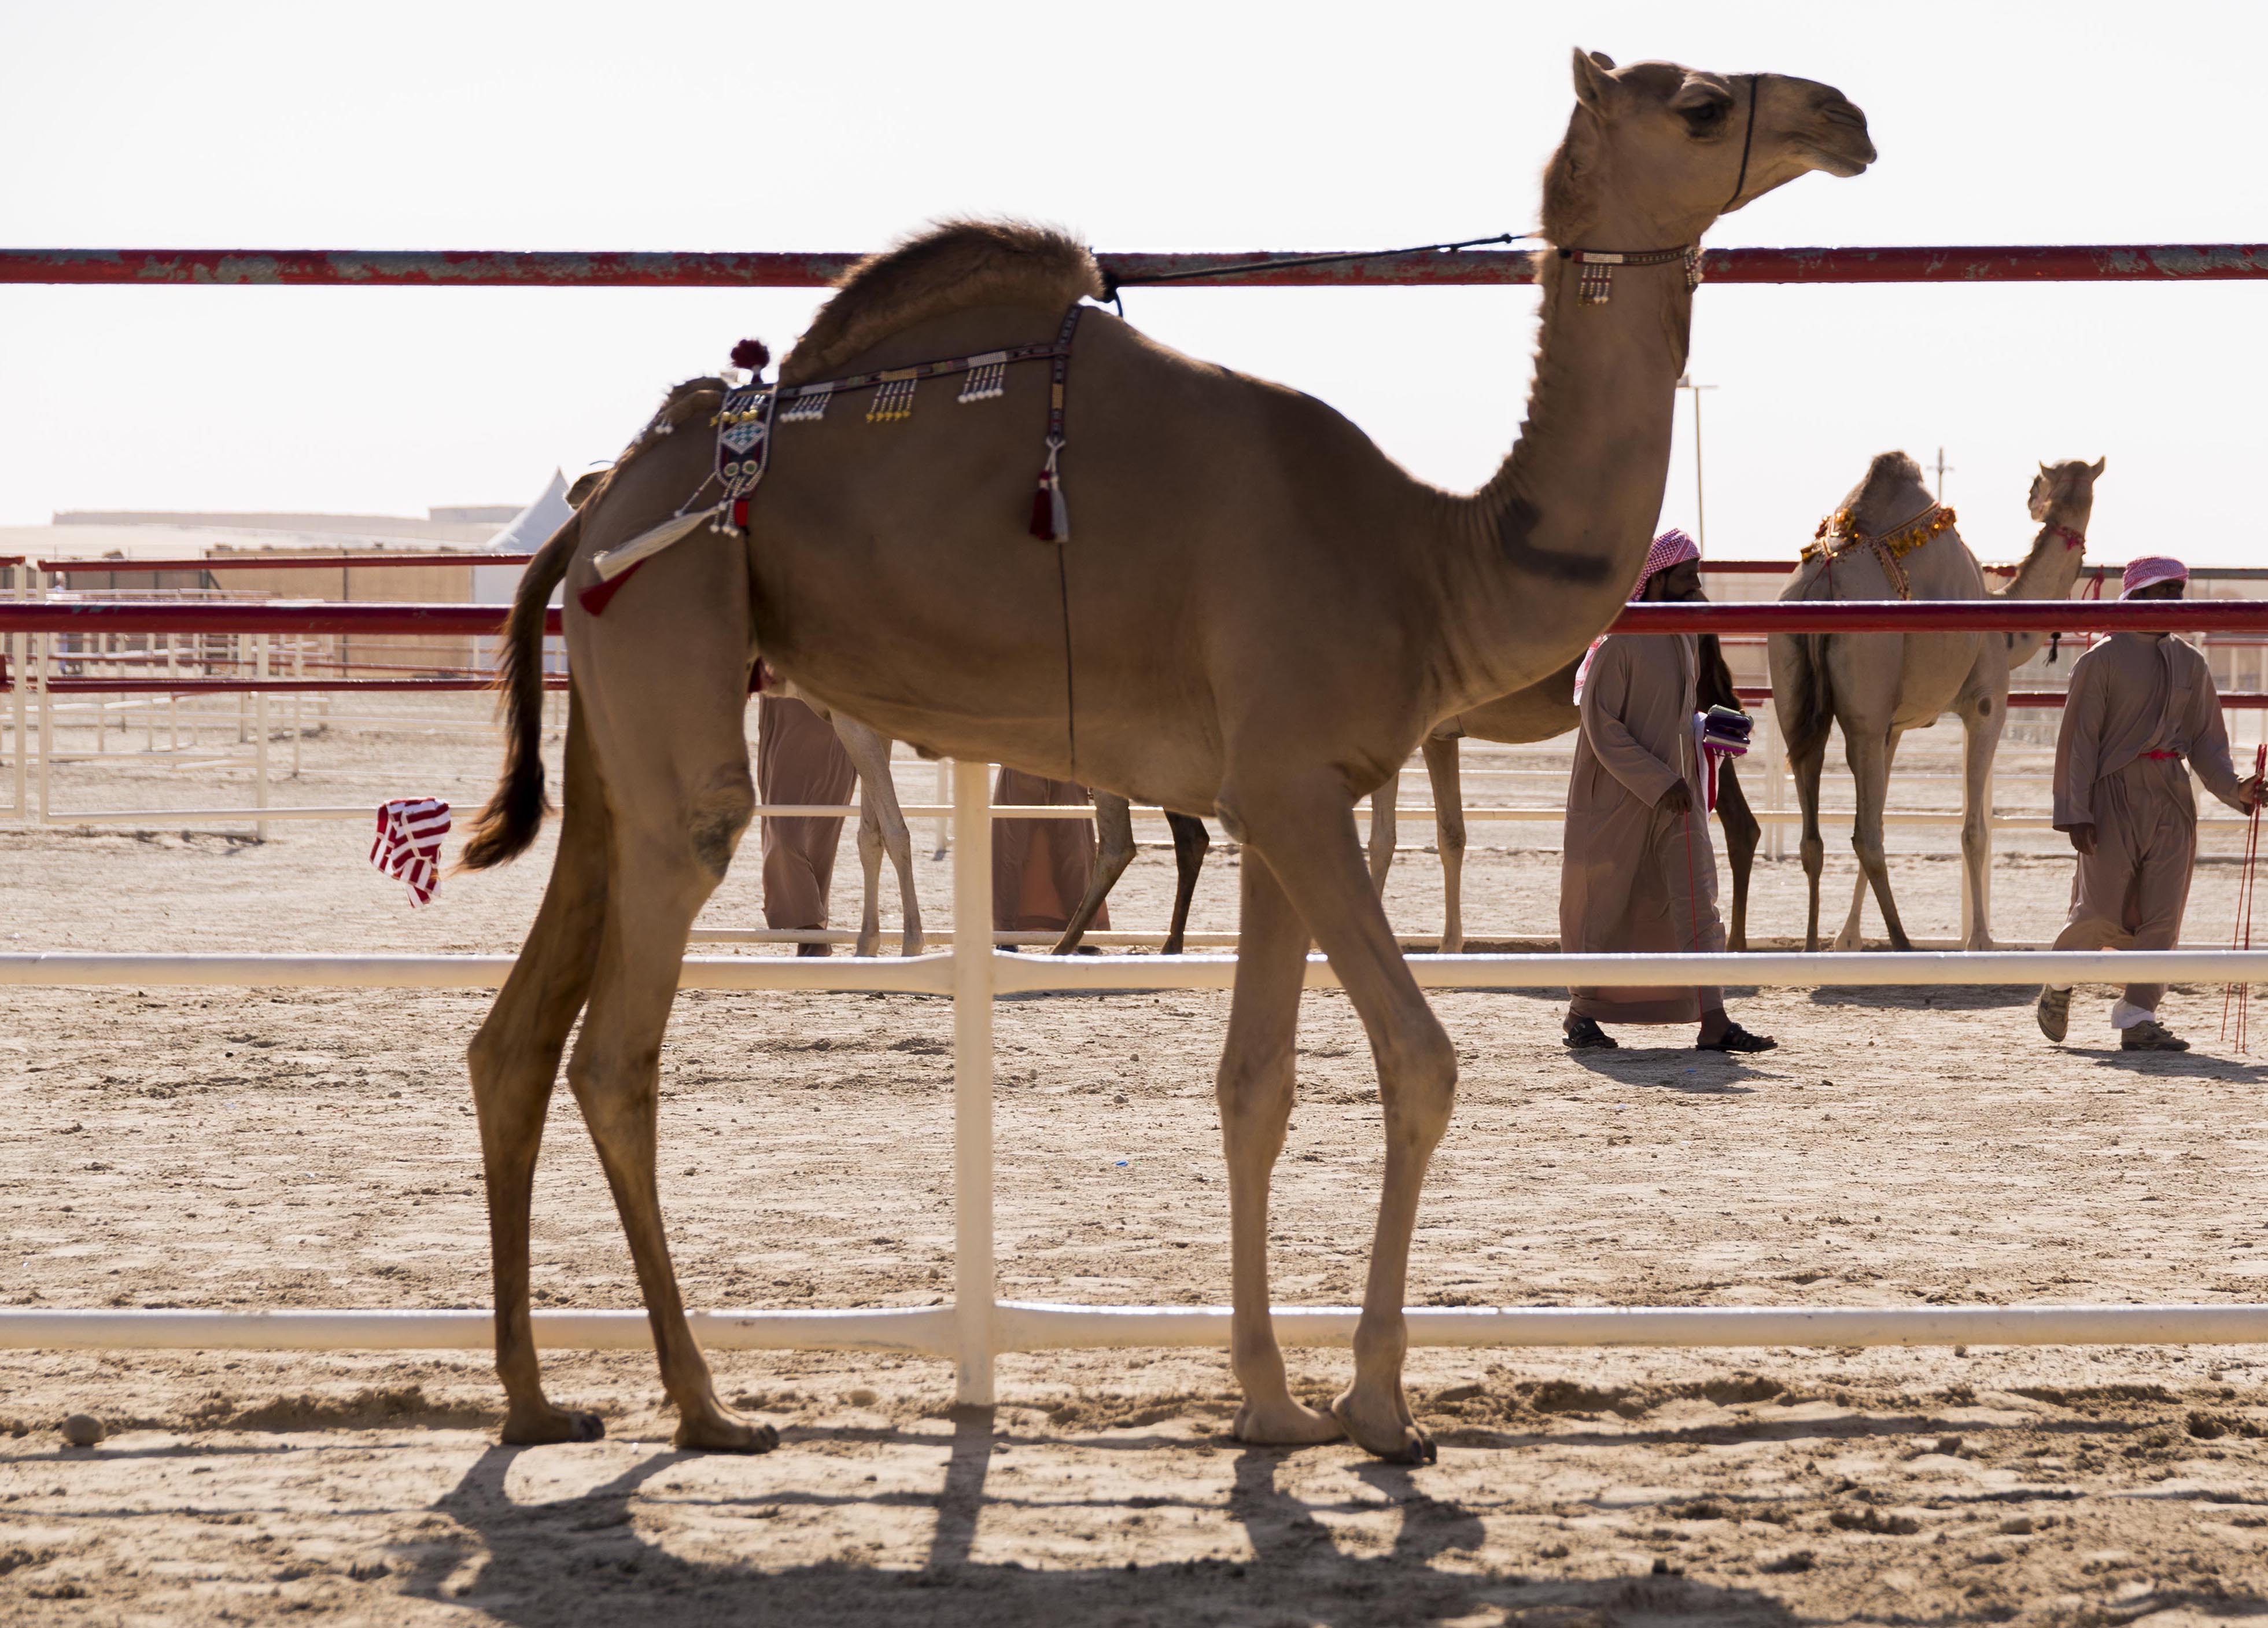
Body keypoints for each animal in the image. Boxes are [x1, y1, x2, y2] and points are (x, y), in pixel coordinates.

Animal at [464, 57, 1878, 1469]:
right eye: (1699, 103)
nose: (1845, 116)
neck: (1430, 559)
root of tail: (597, 502)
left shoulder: (1278, 797)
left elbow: (1253, 1083)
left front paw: (1268, 1400)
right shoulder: (1296, 791)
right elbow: (1420, 1061)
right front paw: (1379, 1406)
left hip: (614, 724)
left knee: (515, 1036)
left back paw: (538, 1398)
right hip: (676, 620)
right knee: (623, 1036)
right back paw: (703, 1402)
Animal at [1760, 453, 2096, 956]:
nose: (2035, 501)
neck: (2003, 624)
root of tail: (1821, 590)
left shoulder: (1894, 725)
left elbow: (1881, 812)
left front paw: (1848, 936)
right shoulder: (1986, 702)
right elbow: (1974, 830)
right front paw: (1980, 941)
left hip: (1795, 689)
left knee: (1816, 832)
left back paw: (1812, 945)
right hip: (1864, 702)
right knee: (1865, 835)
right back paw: (1901, 942)